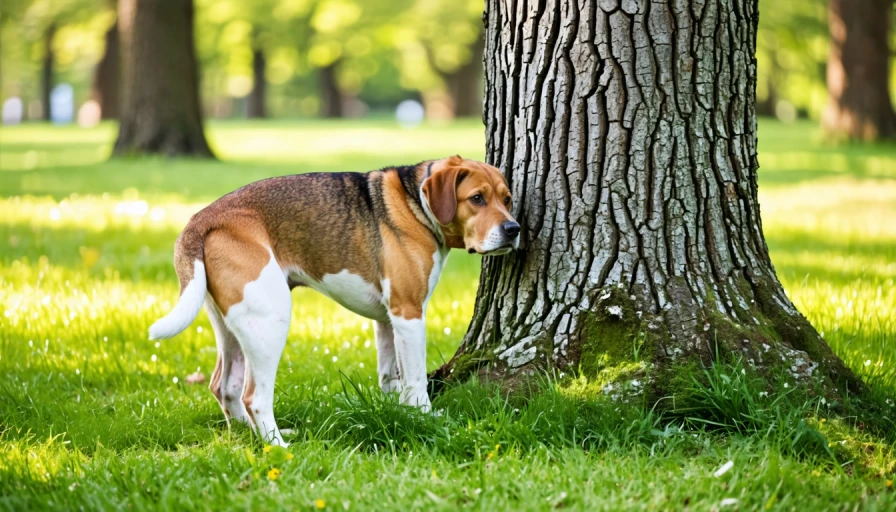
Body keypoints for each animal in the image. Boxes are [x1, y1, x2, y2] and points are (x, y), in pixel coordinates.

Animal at [147, 155, 520, 444]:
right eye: (477, 198)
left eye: (507, 199)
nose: (514, 229)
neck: (416, 204)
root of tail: (202, 219)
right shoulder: (409, 314)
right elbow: (414, 381)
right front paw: (426, 417)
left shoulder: (388, 321)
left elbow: (389, 377)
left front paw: (396, 413)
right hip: (270, 320)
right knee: (254, 396)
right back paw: (278, 447)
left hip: (233, 328)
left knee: (224, 387)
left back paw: (249, 436)